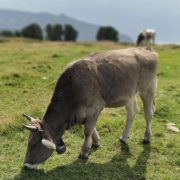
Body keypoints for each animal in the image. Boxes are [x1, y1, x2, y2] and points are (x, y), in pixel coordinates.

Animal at [22, 47, 158, 169]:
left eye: (33, 144)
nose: (26, 165)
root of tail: (146, 50)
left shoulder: (95, 107)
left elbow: (87, 130)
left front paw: (84, 152)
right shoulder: (83, 113)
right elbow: (91, 128)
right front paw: (96, 142)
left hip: (148, 89)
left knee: (148, 113)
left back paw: (147, 137)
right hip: (129, 94)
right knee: (132, 112)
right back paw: (124, 137)